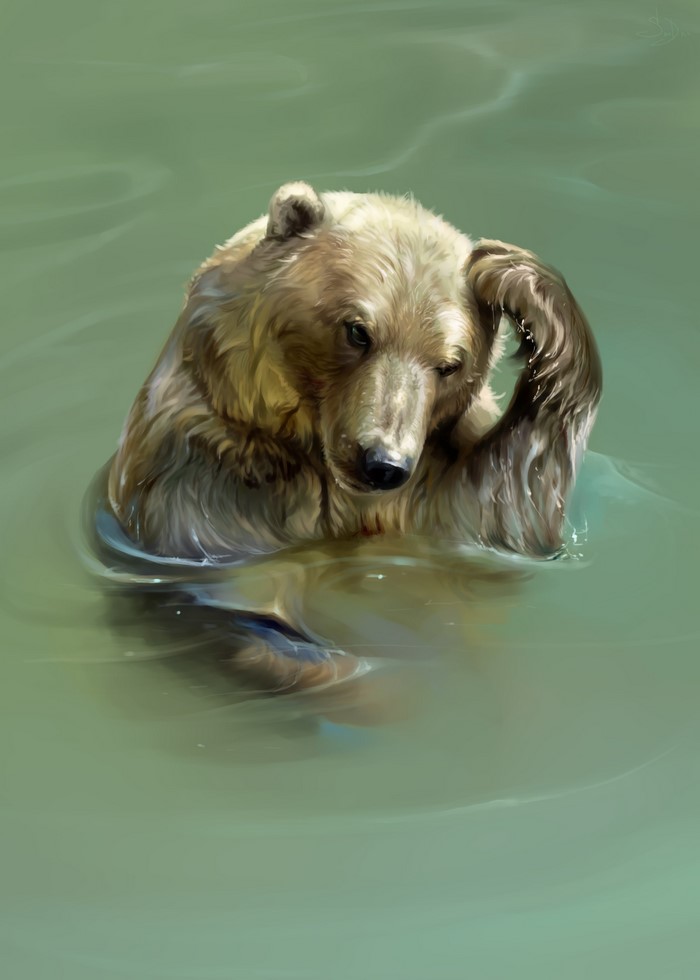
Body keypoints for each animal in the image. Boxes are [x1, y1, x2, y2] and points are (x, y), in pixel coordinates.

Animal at [101, 182, 602, 706]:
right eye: (358, 330)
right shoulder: (207, 483)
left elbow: (508, 506)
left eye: (449, 364)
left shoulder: (433, 486)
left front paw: (509, 271)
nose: (382, 463)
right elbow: (226, 606)